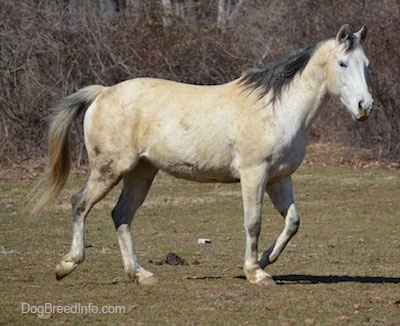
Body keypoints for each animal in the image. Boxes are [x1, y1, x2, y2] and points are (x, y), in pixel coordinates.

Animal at [31, 24, 372, 286]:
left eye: (366, 64)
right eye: (342, 63)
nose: (364, 107)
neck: (277, 109)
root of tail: (102, 92)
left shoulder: (279, 178)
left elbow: (293, 222)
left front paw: (266, 260)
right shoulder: (254, 173)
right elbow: (253, 222)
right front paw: (256, 273)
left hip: (140, 173)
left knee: (121, 215)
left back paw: (140, 274)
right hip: (110, 169)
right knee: (80, 203)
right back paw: (67, 265)